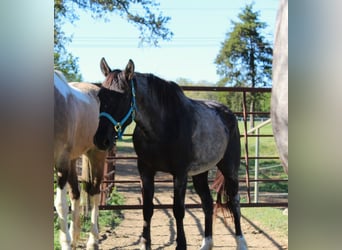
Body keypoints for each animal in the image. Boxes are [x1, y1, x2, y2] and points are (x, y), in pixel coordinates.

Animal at [54, 71, 107, 250]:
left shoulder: (61, 162)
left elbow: (61, 205)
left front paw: (65, 243)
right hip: (73, 159)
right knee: (76, 194)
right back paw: (74, 238)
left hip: (97, 155)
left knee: (95, 193)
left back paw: (92, 241)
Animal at [93, 59, 248, 250]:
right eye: (100, 95)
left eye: (122, 95)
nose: (101, 139)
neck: (163, 126)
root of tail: (229, 114)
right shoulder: (145, 171)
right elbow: (147, 209)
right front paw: (145, 244)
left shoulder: (180, 174)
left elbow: (178, 210)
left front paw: (181, 245)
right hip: (200, 173)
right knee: (207, 203)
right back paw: (206, 244)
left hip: (229, 169)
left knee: (234, 201)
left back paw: (241, 243)